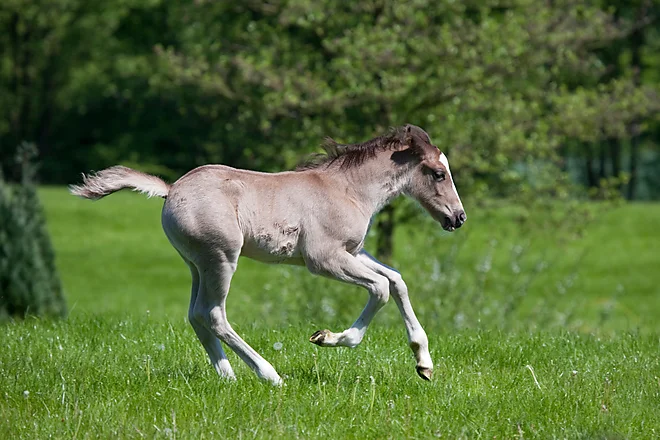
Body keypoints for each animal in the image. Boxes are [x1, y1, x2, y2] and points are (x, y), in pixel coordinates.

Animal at [70, 124, 466, 385]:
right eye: (438, 173)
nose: (458, 218)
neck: (348, 189)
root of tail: (170, 190)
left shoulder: (354, 251)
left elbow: (396, 280)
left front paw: (424, 363)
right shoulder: (324, 259)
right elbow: (381, 288)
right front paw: (328, 338)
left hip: (197, 264)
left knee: (195, 314)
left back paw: (228, 376)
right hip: (221, 258)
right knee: (213, 314)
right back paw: (269, 375)